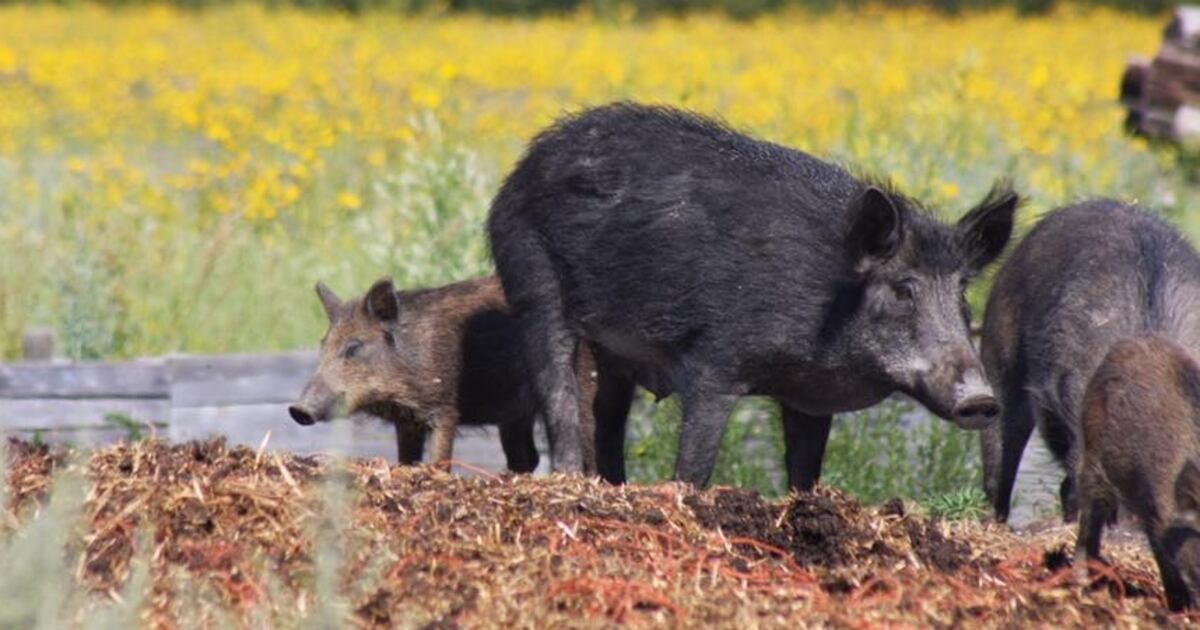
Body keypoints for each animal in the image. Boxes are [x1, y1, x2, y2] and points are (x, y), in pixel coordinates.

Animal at [288, 275, 609, 473]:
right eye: (323, 344)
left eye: (354, 346)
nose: (298, 410)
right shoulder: (407, 421)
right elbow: (406, 459)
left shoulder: (443, 407)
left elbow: (440, 458)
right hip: (514, 414)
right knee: (527, 456)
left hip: (582, 383)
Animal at [485, 102, 1018, 487]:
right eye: (904, 288)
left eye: (962, 291)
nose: (981, 400)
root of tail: (528, 161)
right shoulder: (713, 366)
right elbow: (694, 468)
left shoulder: (810, 398)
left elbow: (805, 473)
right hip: (532, 280)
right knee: (559, 396)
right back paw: (569, 479)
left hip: (614, 351)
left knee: (607, 418)